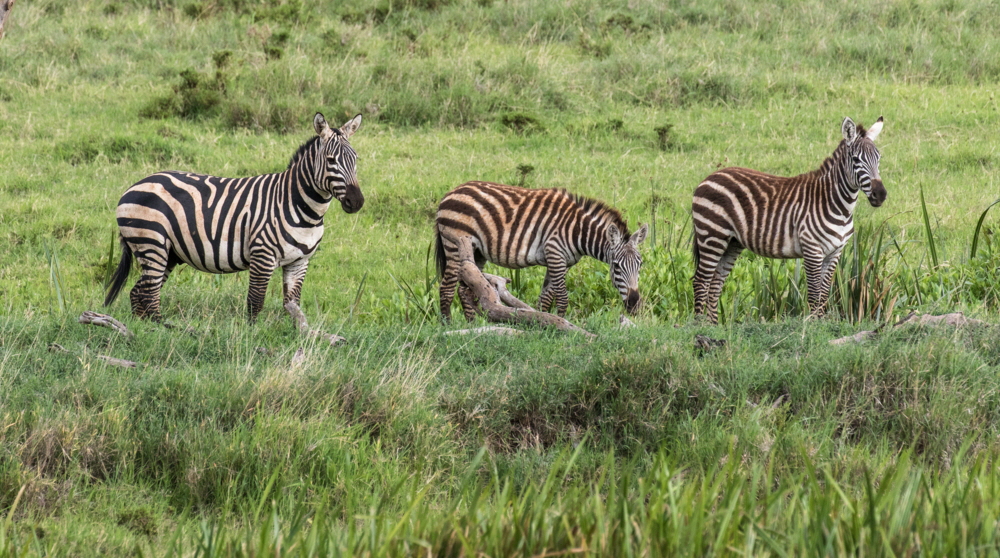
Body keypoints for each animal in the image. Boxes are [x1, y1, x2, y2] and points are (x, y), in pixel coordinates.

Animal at [104, 113, 364, 324]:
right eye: (331, 160)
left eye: (356, 159)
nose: (357, 202)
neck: (304, 211)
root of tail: (134, 186)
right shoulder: (262, 256)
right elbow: (255, 303)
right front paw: (251, 337)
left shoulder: (299, 262)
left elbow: (293, 306)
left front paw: (299, 335)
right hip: (151, 242)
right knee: (148, 293)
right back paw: (164, 330)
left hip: (167, 252)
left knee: (139, 292)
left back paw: (146, 328)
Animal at [438, 183, 648, 320]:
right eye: (616, 266)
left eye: (640, 265)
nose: (634, 305)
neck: (577, 231)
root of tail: (452, 191)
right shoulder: (555, 253)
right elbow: (562, 298)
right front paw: (562, 324)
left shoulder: (562, 262)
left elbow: (546, 297)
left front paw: (543, 322)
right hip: (454, 245)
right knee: (446, 289)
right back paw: (448, 326)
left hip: (476, 253)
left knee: (465, 289)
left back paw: (472, 324)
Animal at [692, 116, 888, 326]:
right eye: (856, 159)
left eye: (879, 158)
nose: (880, 195)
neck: (838, 205)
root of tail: (710, 176)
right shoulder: (812, 250)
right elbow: (814, 295)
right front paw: (812, 326)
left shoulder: (834, 253)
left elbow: (824, 294)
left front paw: (821, 324)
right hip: (712, 235)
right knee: (701, 281)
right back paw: (699, 326)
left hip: (732, 242)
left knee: (715, 283)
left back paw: (714, 326)